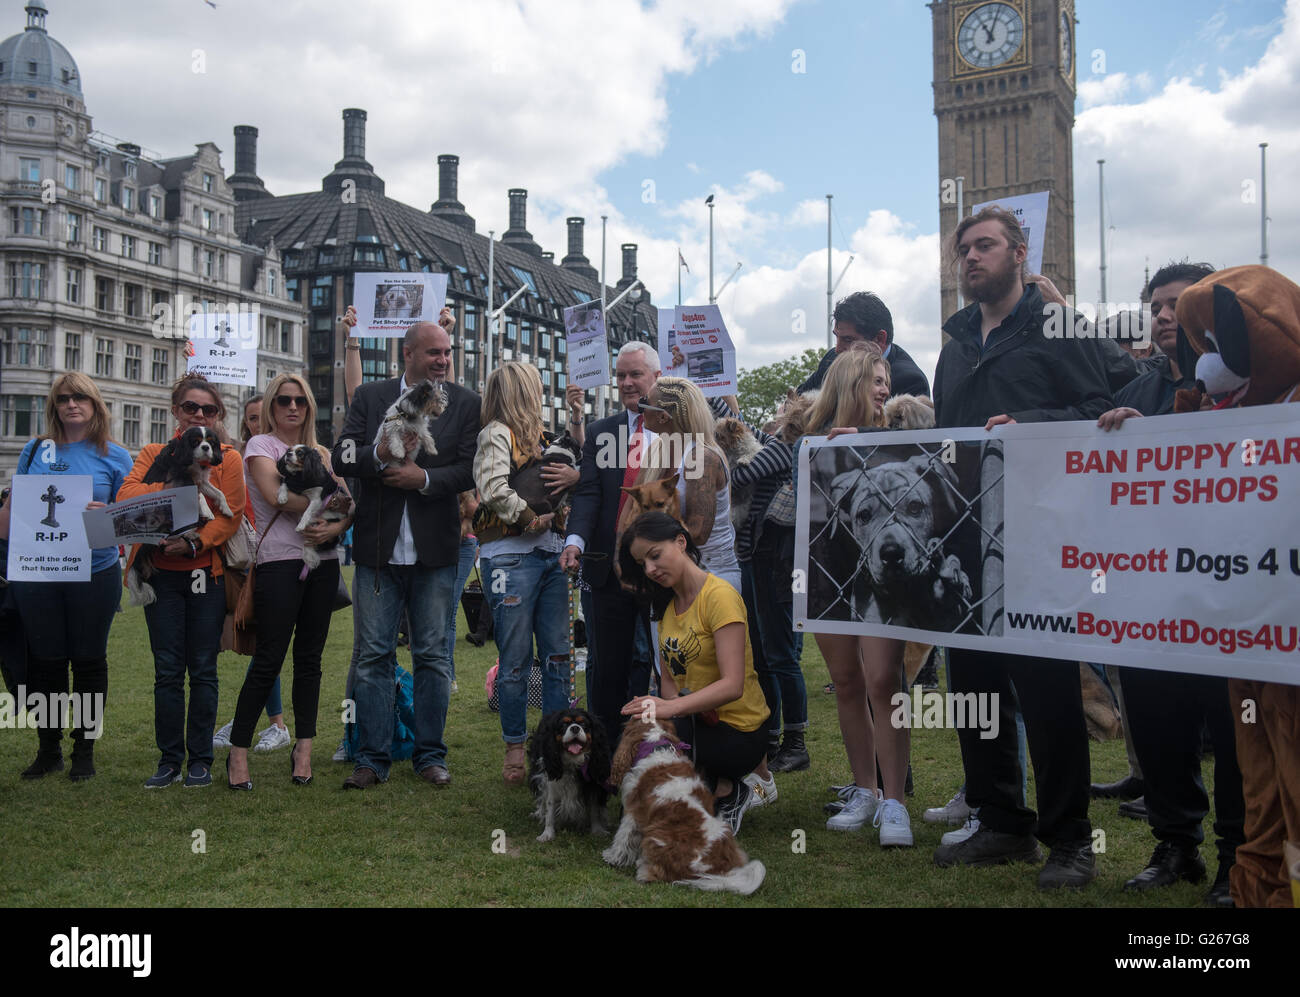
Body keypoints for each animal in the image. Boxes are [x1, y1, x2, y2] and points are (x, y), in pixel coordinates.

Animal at [603, 717, 764, 894]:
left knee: (656, 873)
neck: (656, 744)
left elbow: (623, 837)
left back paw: (643, 868)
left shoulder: (633, 810)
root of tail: (719, 871)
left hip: (655, 836)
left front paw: (612, 857)